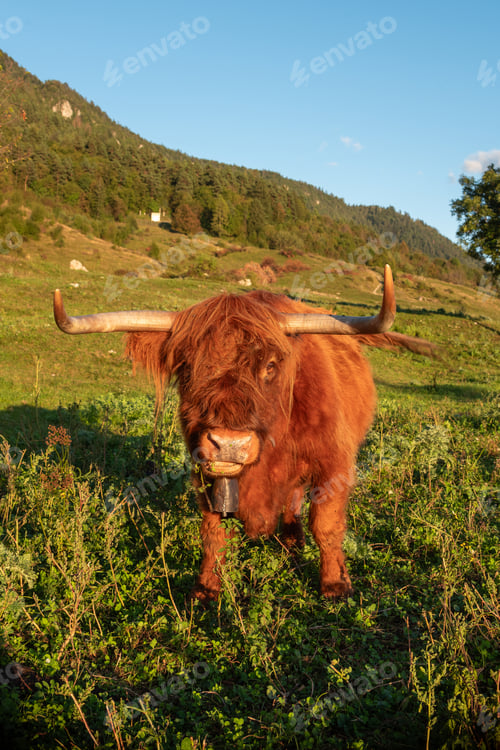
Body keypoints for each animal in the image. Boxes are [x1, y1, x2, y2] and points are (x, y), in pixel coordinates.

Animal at [53, 266, 433, 602]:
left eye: (270, 366)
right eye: (186, 367)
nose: (229, 444)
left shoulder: (334, 464)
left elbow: (326, 526)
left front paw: (336, 586)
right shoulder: (204, 472)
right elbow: (213, 531)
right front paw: (206, 589)